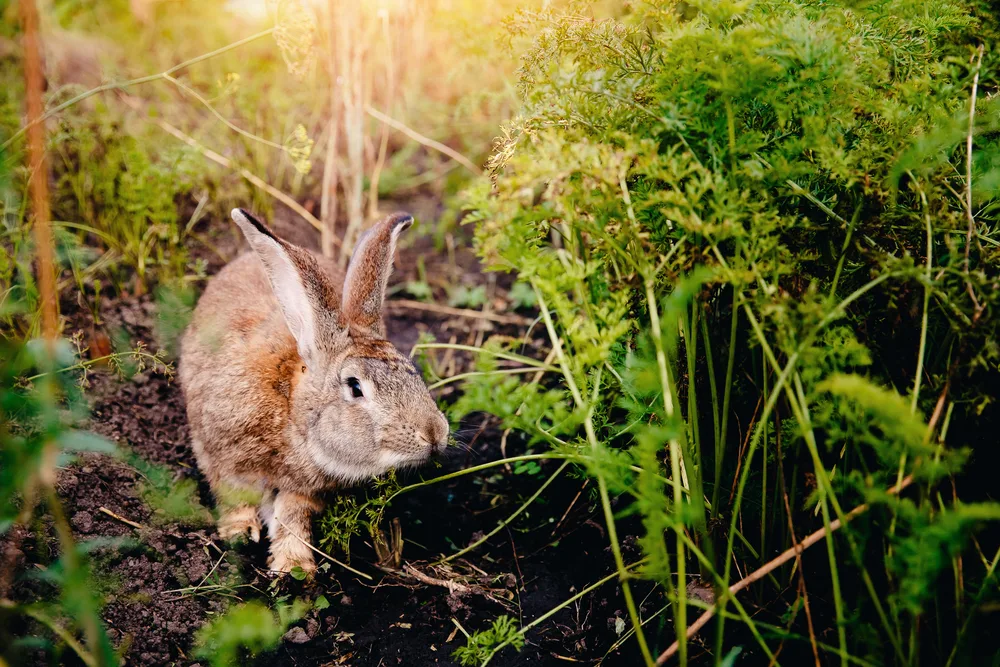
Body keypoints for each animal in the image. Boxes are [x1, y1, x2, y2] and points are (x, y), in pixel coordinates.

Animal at [178, 210, 448, 576]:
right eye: (355, 387)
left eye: (412, 371)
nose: (435, 434)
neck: (292, 411)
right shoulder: (222, 456)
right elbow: (235, 497)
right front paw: (238, 534)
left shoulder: (303, 491)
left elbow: (292, 518)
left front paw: (294, 567)